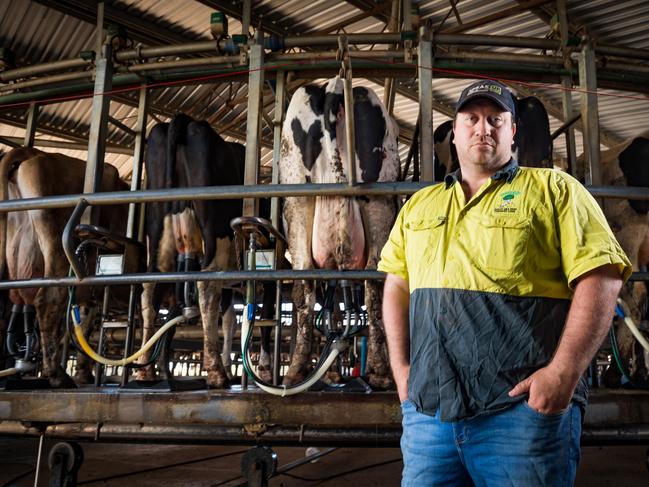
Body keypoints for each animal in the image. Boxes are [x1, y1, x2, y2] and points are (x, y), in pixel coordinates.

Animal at [138, 114, 244, 388]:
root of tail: (186, 121)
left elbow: (229, 318)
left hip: (158, 232)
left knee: (149, 288)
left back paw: (145, 370)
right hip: (216, 231)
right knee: (207, 285)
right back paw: (216, 373)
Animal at [276, 77, 398, 388]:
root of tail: (335, 85)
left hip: (299, 202)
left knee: (307, 284)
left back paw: (298, 370)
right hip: (375, 203)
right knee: (371, 284)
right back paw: (380, 371)